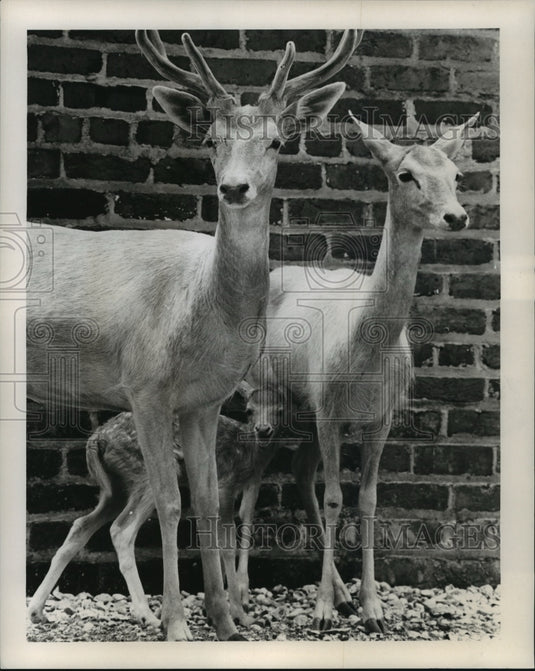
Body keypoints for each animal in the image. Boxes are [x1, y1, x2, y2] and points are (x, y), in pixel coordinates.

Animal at [26, 28, 362, 641]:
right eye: (210, 139)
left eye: (277, 141)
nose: (234, 187)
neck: (202, 311)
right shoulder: (145, 386)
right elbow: (170, 503)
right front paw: (177, 624)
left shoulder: (203, 402)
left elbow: (207, 502)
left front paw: (227, 621)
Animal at [241, 111, 480, 634]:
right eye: (405, 174)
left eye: (457, 175)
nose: (456, 216)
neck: (366, 353)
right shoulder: (331, 411)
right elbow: (335, 498)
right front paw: (321, 611)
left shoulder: (381, 418)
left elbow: (368, 500)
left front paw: (373, 609)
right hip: (272, 400)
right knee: (262, 481)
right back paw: (246, 592)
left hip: (310, 414)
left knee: (301, 472)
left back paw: (344, 594)